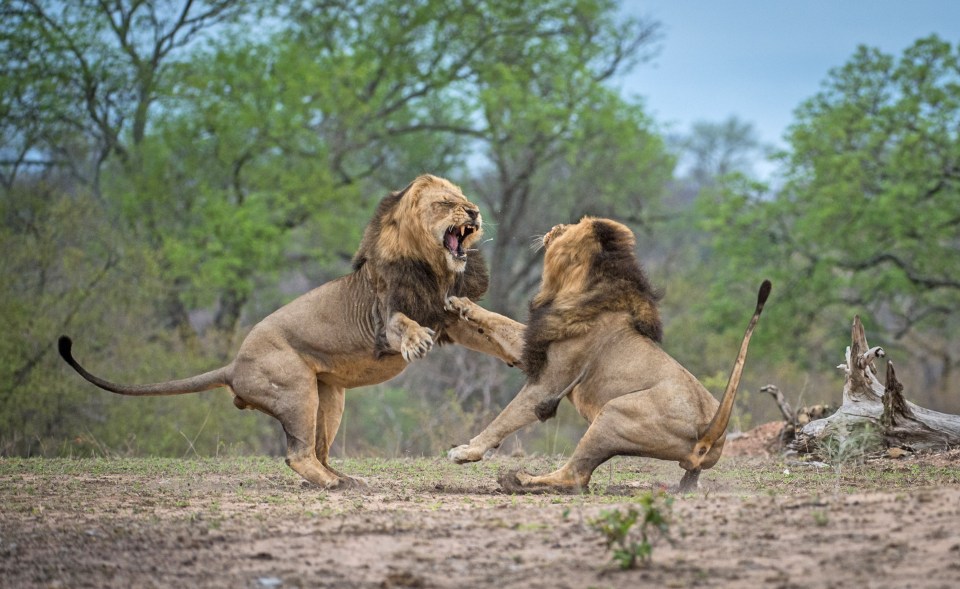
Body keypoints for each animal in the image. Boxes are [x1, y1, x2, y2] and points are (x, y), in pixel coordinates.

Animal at [60, 173, 524, 486]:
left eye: (464, 199)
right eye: (446, 203)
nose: (475, 212)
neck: (432, 267)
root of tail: (233, 365)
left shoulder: (445, 316)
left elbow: (487, 327)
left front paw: (517, 349)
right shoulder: (384, 315)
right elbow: (401, 325)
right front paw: (415, 341)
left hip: (330, 397)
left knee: (317, 450)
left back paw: (344, 478)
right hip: (297, 389)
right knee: (297, 455)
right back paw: (333, 483)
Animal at [446, 216, 768, 492]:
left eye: (569, 227)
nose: (553, 227)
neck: (578, 287)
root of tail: (711, 430)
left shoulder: (548, 385)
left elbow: (505, 417)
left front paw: (466, 451)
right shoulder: (537, 348)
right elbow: (500, 321)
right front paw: (459, 303)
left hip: (613, 413)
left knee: (576, 475)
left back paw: (520, 479)